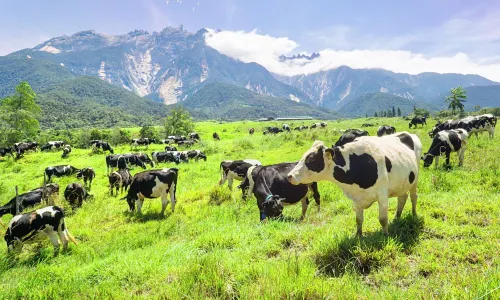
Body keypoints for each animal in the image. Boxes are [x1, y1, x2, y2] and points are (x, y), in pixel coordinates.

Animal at [290, 132, 422, 237]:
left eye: (311, 160)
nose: (290, 176)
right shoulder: (355, 197)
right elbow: (358, 219)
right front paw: (358, 236)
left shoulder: (382, 194)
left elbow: (383, 219)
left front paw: (386, 235)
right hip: (402, 183)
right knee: (402, 197)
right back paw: (397, 217)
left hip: (415, 180)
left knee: (413, 197)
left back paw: (414, 214)